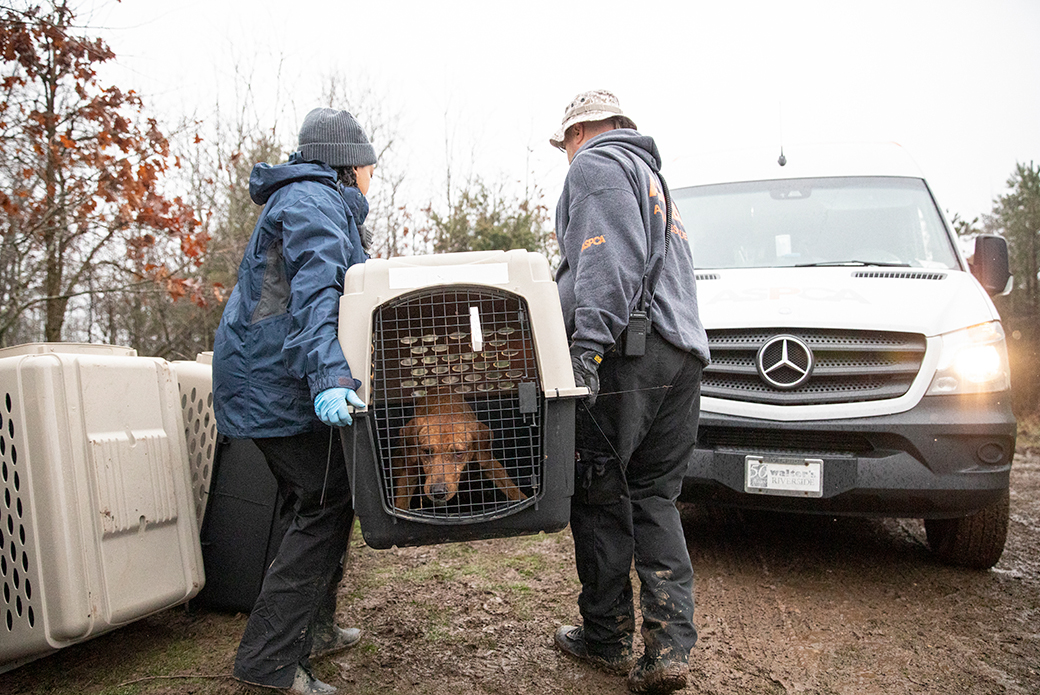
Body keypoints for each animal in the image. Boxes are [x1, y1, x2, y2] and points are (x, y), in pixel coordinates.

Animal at [395, 391, 532, 509]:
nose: (438, 492)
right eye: (426, 451)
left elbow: (512, 489)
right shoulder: (410, 471)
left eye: (459, 453)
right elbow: (401, 503)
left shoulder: (489, 462)